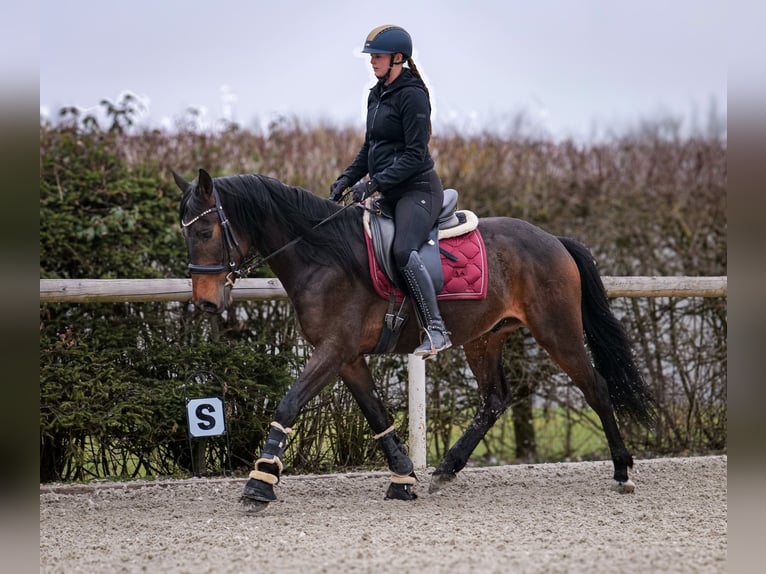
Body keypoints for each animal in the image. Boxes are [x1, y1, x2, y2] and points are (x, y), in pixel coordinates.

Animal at [177, 168, 656, 512]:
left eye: (204, 232)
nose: (205, 302)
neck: (324, 255)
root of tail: (551, 238)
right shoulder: (347, 358)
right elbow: (375, 414)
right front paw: (404, 478)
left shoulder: (333, 350)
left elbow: (289, 404)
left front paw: (260, 483)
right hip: (484, 339)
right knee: (494, 399)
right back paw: (446, 469)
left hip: (557, 331)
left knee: (595, 387)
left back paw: (622, 471)